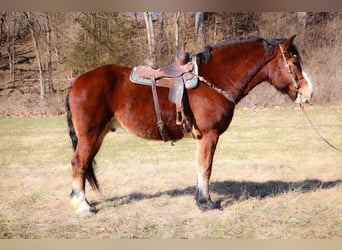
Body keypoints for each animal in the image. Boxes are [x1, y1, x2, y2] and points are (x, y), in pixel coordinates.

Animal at [65, 35, 314, 215]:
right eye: (294, 62)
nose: (308, 92)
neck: (214, 79)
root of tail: (77, 82)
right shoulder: (210, 135)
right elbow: (205, 168)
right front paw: (207, 203)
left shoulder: (203, 138)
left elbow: (199, 167)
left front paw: (200, 199)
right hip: (89, 135)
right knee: (78, 164)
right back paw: (83, 206)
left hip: (98, 136)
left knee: (84, 165)